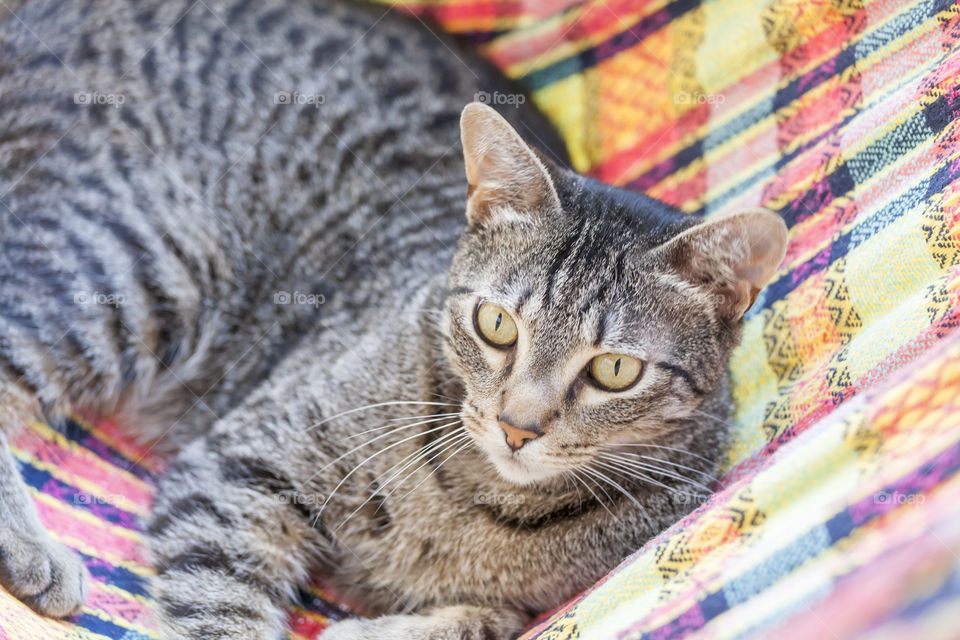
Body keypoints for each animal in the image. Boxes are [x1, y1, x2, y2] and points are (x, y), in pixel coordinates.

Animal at [0, 0, 788, 636]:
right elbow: (224, 610)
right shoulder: (239, 463)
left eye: (615, 370)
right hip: (150, 262)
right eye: (497, 325)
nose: (517, 428)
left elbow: (486, 620)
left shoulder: (534, 601)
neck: (485, 504)